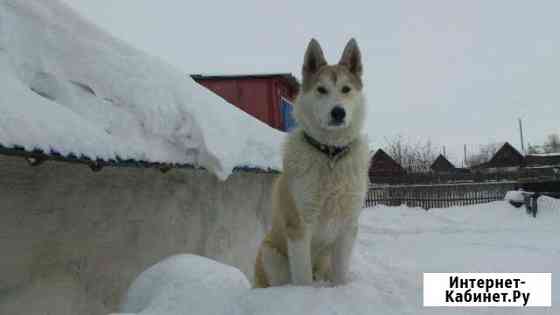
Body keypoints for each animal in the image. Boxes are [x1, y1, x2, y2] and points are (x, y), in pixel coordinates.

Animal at [255, 38, 370, 288]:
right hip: (270, 255)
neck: (330, 155)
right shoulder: (299, 226)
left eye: (346, 89)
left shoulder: (348, 227)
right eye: (321, 89)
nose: (338, 112)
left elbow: (340, 276)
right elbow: (303, 278)